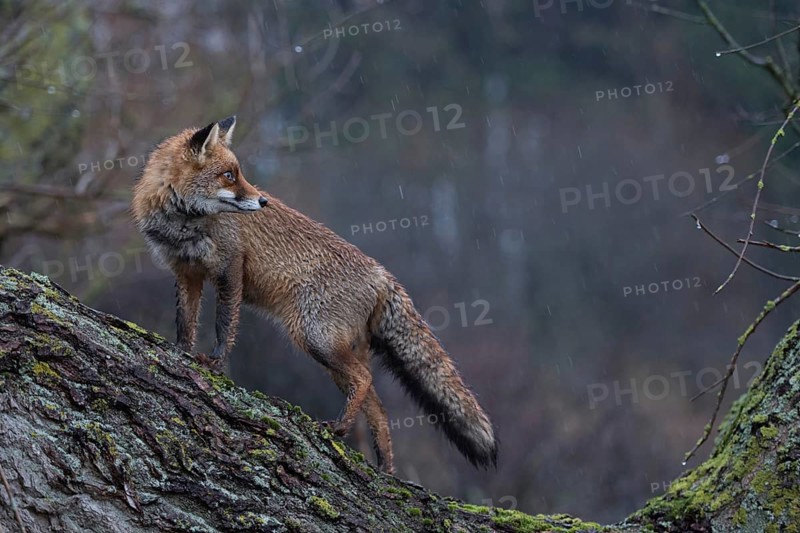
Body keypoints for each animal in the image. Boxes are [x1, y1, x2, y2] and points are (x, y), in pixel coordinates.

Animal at [131, 116, 497, 474]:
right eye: (229, 176)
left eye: (239, 173)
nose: (263, 201)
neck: (184, 223)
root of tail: (383, 274)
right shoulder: (186, 272)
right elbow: (186, 322)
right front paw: (181, 350)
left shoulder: (230, 266)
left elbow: (225, 325)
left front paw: (215, 362)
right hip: (335, 349)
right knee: (378, 407)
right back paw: (385, 469)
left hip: (315, 338)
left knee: (364, 380)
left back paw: (339, 430)